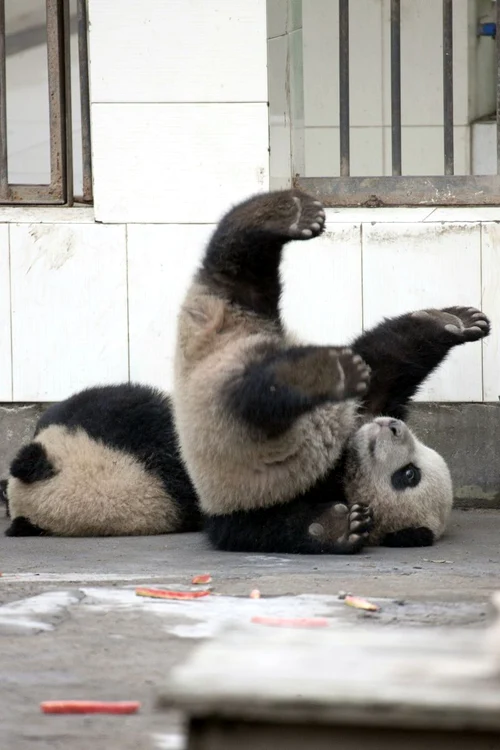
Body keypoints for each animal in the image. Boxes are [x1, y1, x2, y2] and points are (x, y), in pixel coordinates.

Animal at [171, 188, 491, 554]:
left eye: (410, 474)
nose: (394, 426)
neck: (344, 462)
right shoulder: (363, 410)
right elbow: (386, 362)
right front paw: (458, 321)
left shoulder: (263, 496)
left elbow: (266, 528)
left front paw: (340, 525)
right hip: (249, 329)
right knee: (241, 267)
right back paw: (286, 213)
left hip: (231, 371)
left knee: (256, 388)